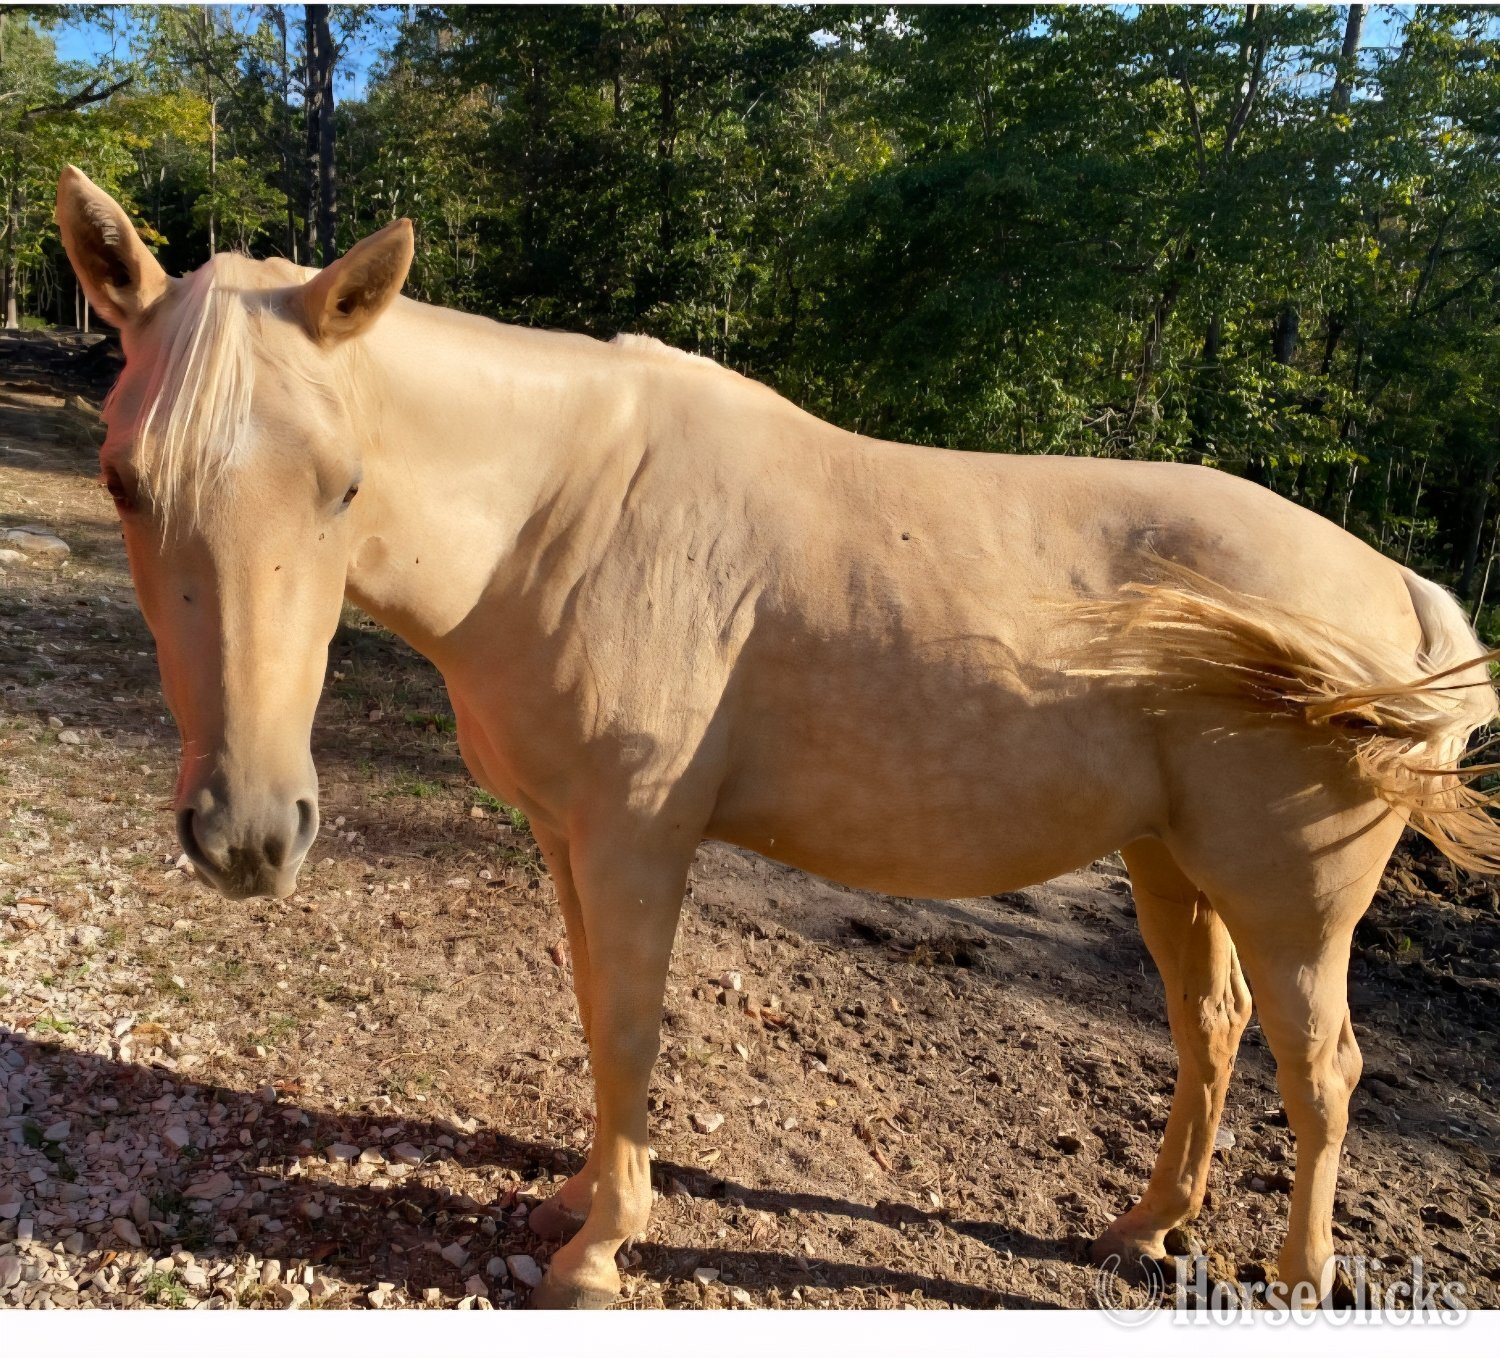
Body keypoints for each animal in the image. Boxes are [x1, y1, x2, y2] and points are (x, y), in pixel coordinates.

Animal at [56, 165, 1499, 1310]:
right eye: (124, 480)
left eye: (343, 486)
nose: (248, 832)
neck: (561, 512)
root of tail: (1396, 590)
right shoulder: (567, 835)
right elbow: (595, 1011)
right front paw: (577, 1196)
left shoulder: (638, 837)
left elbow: (630, 1023)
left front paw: (599, 1250)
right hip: (1170, 862)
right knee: (1213, 1028)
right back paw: (1144, 1227)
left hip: (1292, 896)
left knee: (1320, 1067)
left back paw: (1297, 1274)